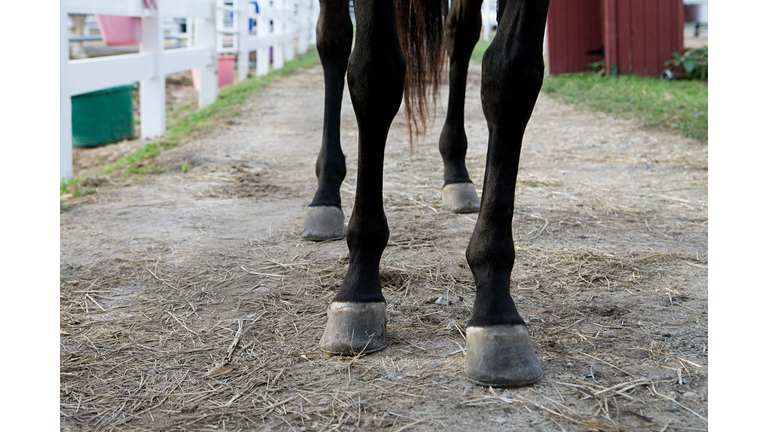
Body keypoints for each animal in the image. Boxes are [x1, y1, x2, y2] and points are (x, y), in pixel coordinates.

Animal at [304, 0, 548, 388]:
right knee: (334, 39)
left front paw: (495, 307)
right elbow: (374, 69)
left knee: (461, 34)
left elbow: (511, 73)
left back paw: (456, 173)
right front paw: (358, 287)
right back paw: (325, 193)